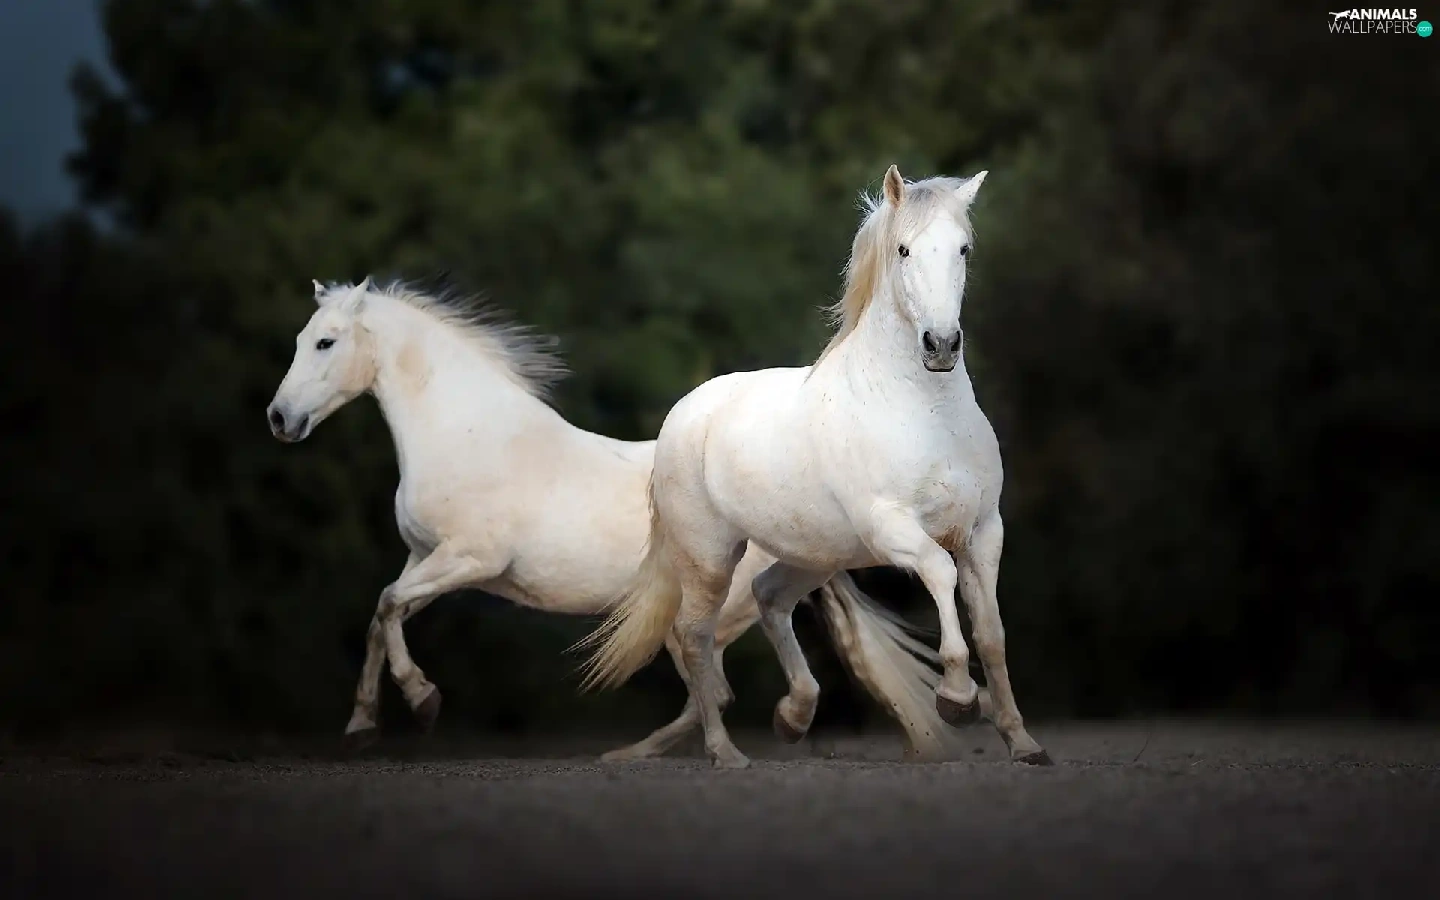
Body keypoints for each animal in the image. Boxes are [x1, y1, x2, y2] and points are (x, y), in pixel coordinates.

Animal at [265, 276, 980, 760]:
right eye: (301, 338)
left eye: (324, 342)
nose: (279, 419)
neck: (467, 435)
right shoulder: (427, 559)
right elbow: (381, 615)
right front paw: (362, 726)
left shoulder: (467, 559)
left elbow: (386, 605)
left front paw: (422, 701)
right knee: (709, 691)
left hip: (711, 611)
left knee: (711, 688)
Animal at [579, 166, 1050, 769]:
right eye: (903, 249)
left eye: (963, 249)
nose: (941, 346)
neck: (928, 414)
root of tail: (681, 417)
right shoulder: (895, 529)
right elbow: (941, 575)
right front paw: (958, 698)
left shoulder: (984, 531)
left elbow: (991, 631)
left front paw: (1022, 742)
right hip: (710, 558)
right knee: (695, 636)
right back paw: (725, 752)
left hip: (816, 556)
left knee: (770, 597)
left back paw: (795, 715)